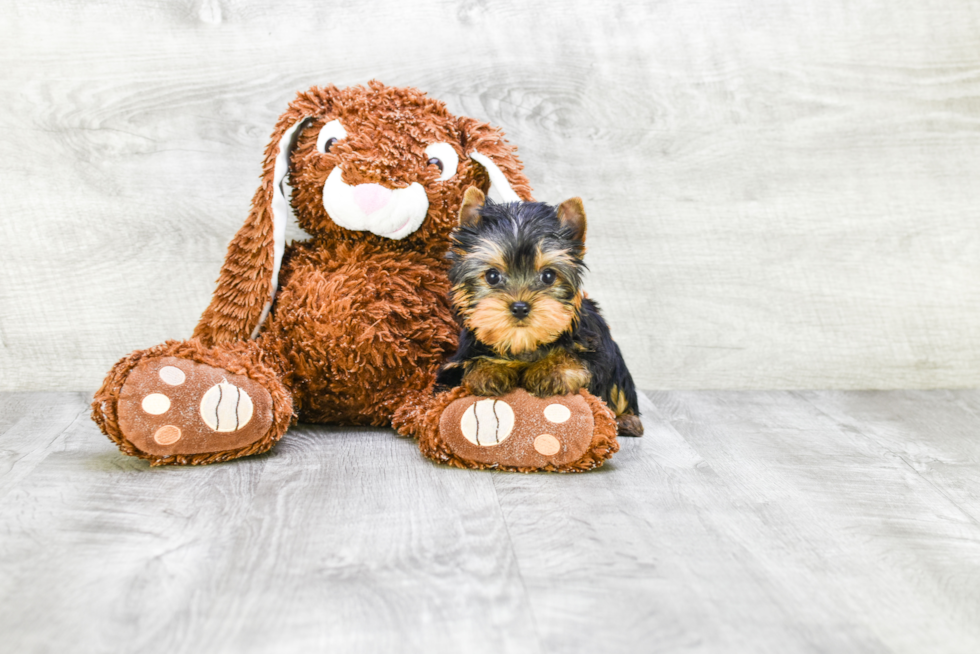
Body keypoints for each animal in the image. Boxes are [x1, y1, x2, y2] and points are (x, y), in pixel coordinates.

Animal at [438, 187, 644, 438]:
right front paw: (489, 370)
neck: (524, 343)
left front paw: (550, 370)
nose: (519, 307)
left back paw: (627, 421)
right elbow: (470, 366)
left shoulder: (596, 350)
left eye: (548, 276)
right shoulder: (454, 366)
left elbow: (576, 358)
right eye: (492, 276)